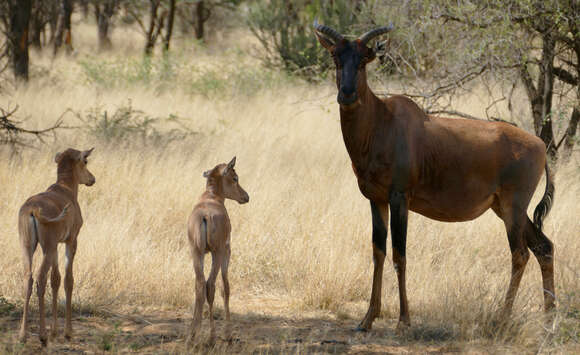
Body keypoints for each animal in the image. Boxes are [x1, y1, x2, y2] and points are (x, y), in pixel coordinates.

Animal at [17, 149, 94, 346]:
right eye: (85, 160)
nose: (92, 179)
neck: (64, 190)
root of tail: (32, 210)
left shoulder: (56, 246)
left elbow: (56, 279)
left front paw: (55, 332)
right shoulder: (70, 241)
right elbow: (68, 279)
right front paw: (67, 333)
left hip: (28, 247)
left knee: (28, 278)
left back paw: (23, 335)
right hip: (47, 248)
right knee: (40, 278)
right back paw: (42, 336)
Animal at [187, 157, 248, 346]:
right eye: (235, 177)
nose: (246, 197)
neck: (211, 197)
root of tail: (205, 215)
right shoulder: (227, 251)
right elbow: (225, 286)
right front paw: (228, 334)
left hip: (196, 252)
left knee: (199, 284)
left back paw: (192, 335)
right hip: (217, 253)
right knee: (211, 285)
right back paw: (212, 337)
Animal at [314, 21, 556, 334]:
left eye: (365, 58)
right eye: (335, 56)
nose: (346, 94)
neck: (383, 122)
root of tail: (540, 146)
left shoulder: (400, 198)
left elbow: (399, 254)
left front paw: (403, 321)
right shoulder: (375, 200)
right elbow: (378, 253)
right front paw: (366, 320)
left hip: (513, 207)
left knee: (520, 254)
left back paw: (501, 321)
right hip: (503, 208)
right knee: (543, 247)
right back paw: (549, 322)